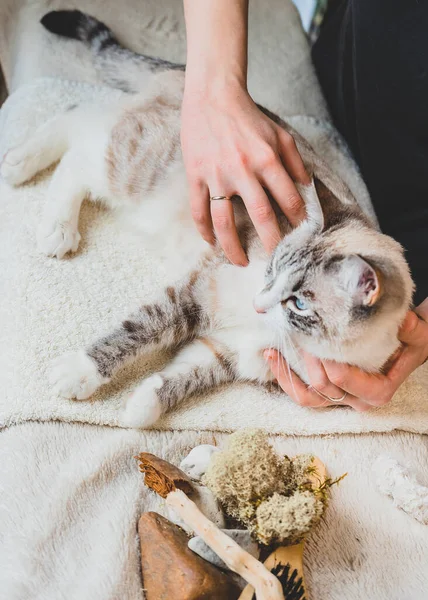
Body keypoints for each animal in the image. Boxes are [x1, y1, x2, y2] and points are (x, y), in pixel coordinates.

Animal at [0, 7, 414, 424]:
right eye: (271, 269)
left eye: (298, 303)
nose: (259, 303)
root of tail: (184, 73)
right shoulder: (194, 294)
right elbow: (139, 331)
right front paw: (79, 371)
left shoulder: (227, 352)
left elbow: (180, 378)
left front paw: (139, 409)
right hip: (135, 168)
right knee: (77, 130)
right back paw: (36, 194)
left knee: (80, 134)